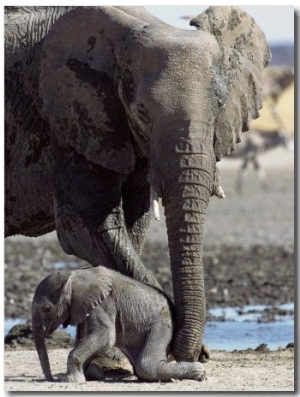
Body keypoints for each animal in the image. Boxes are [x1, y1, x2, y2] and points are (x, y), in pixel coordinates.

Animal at [5, 6, 272, 364]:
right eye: (142, 112)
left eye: (218, 108)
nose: (195, 354)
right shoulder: (68, 120)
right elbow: (88, 228)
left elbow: (132, 228)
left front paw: (112, 358)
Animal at [32, 264, 206, 382]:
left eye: (46, 309)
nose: (50, 379)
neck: (74, 274)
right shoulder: (84, 308)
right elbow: (85, 338)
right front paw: (87, 374)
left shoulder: (103, 304)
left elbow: (105, 336)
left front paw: (71, 380)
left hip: (162, 324)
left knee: (146, 365)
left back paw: (199, 373)